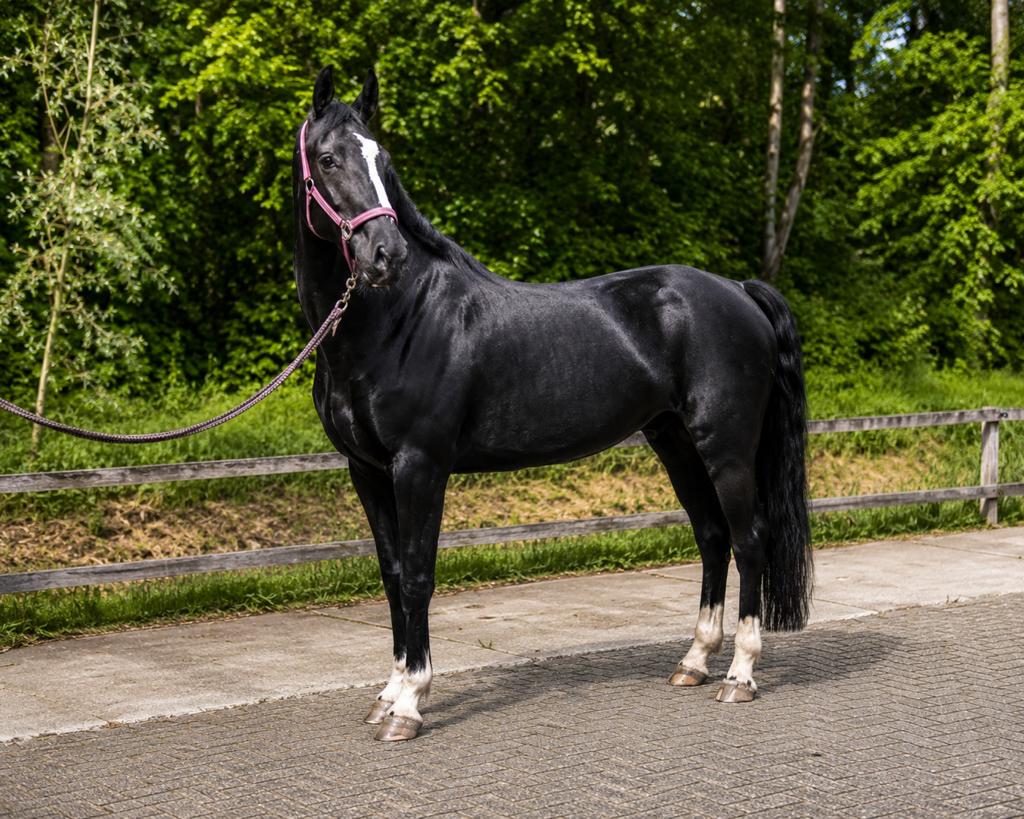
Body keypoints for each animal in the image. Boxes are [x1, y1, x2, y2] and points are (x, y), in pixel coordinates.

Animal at [293, 67, 812, 742]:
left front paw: (409, 703)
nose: (387, 255)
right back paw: (694, 663)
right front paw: (388, 693)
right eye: (329, 159)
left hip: (724, 446)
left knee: (749, 540)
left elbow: (419, 575)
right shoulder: (368, 471)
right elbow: (392, 575)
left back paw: (740, 676)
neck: (396, 320)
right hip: (674, 441)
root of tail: (739, 290)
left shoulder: (419, 465)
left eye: (385, 160)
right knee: (712, 536)